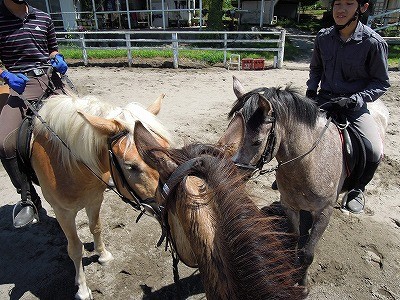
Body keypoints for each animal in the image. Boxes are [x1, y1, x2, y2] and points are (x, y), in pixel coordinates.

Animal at [10, 92, 170, 300]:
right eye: (131, 166)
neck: (70, 165)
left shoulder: (94, 200)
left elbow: (96, 228)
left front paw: (103, 255)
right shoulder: (63, 212)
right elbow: (75, 248)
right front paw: (83, 289)